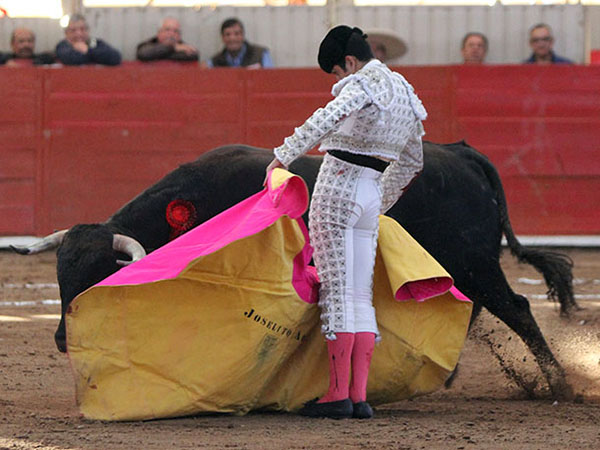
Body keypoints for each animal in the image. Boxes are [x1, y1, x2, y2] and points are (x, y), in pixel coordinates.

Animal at [12, 142, 576, 400]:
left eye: (96, 276)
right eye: (60, 278)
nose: (62, 339)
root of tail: (462, 153)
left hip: (478, 262)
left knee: (516, 308)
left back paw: (560, 387)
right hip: (463, 267)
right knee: (477, 308)